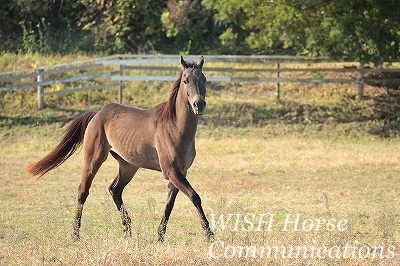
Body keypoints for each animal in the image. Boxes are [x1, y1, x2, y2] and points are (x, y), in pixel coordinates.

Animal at [26, 55, 214, 241]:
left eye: (204, 79)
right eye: (185, 80)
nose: (199, 104)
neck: (175, 126)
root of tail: (97, 113)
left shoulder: (180, 172)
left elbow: (170, 203)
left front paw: (160, 237)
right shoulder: (171, 171)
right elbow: (194, 196)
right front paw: (209, 235)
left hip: (128, 166)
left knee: (115, 190)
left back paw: (127, 230)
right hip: (93, 160)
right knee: (83, 191)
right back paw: (75, 234)